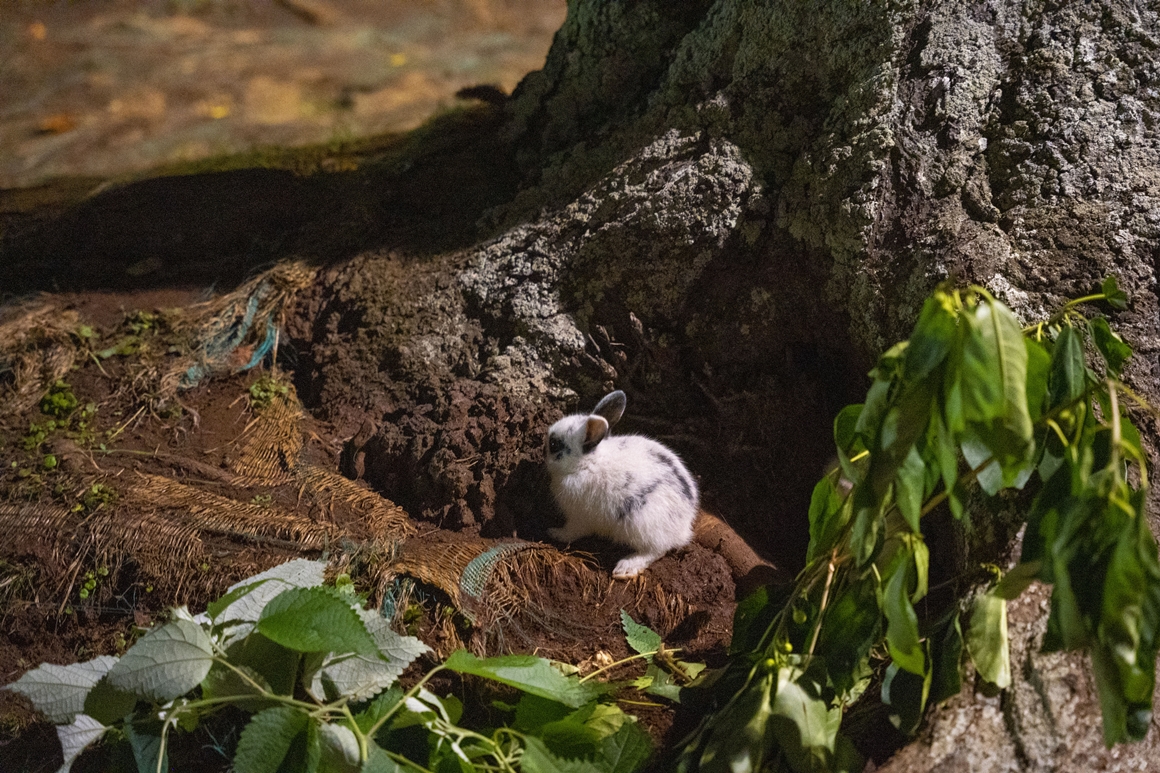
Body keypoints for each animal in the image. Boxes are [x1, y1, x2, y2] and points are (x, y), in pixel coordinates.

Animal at [542, 387, 696, 575]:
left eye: (554, 444)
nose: (542, 450)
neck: (587, 463)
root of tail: (684, 527)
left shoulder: (579, 518)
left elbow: (571, 532)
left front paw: (554, 533)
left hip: (642, 525)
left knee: (656, 550)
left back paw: (625, 568)